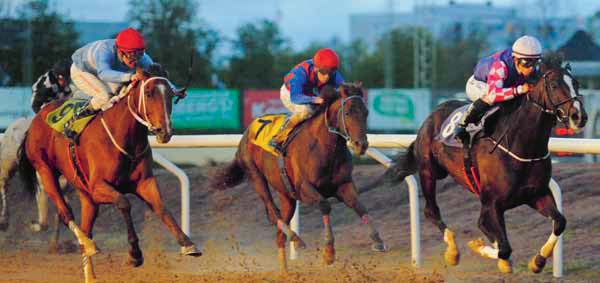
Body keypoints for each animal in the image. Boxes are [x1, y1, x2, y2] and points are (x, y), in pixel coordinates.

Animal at [17, 65, 200, 282]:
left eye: (171, 95)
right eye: (148, 93)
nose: (165, 132)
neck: (124, 136)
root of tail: (36, 119)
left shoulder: (144, 183)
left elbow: (161, 208)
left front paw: (188, 244)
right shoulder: (98, 187)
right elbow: (124, 202)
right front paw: (134, 255)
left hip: (85, 194)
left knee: (86, 227)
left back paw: (90, 271)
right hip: (45, 170)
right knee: (65, 213)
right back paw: (88, 244)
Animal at [213, 82, 386, 272]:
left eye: (366, 112)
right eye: (347, 112)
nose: (361, 145)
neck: (324, 147)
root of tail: (245, 134)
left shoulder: (343, 185)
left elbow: (359, 206)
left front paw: (377, 240)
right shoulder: (304, 188)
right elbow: (325, 205)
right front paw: (328, 252)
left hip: (286, 196)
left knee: (279, 233)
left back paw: (285, 270)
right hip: (255, 175)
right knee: (273, 211)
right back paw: (297, 239)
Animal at [386, 53, 588, 276]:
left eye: (576, 83)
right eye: (553, 85)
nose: (579, 116)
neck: (520, 145)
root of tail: (431, 116)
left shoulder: (536, 194)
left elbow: (559, 222)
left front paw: (538, 261)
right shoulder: (490, 204)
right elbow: (502, 247)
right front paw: (479, 247)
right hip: (428, 170)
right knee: (431, 211)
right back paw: (453, 252)